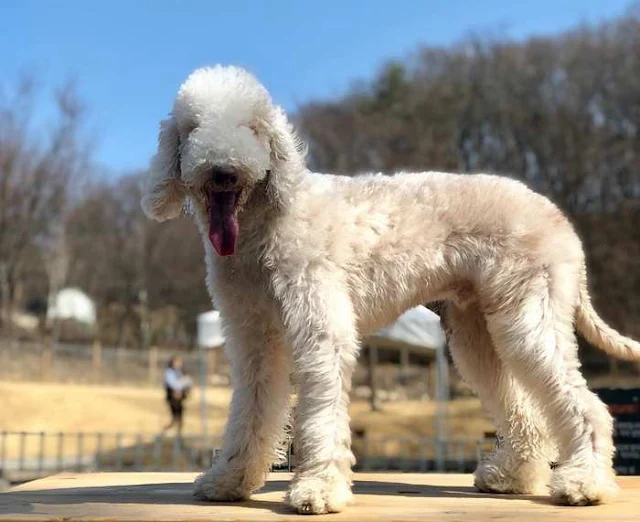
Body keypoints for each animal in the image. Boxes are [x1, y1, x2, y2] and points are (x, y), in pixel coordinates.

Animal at [141, 66, 640, 512]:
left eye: (254, 127)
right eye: (192, 128)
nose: (223, 170)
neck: (268, 223)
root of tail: (562, 225)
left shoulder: (321, 328)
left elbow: (320, 412)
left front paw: (318, 491)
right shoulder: (253, 337)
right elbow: (251, 409)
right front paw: (229, 480)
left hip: (529, 316)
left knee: (589, 407)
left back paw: (584, 484)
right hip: (478, 332)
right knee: (526, 412)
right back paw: (512, 478)